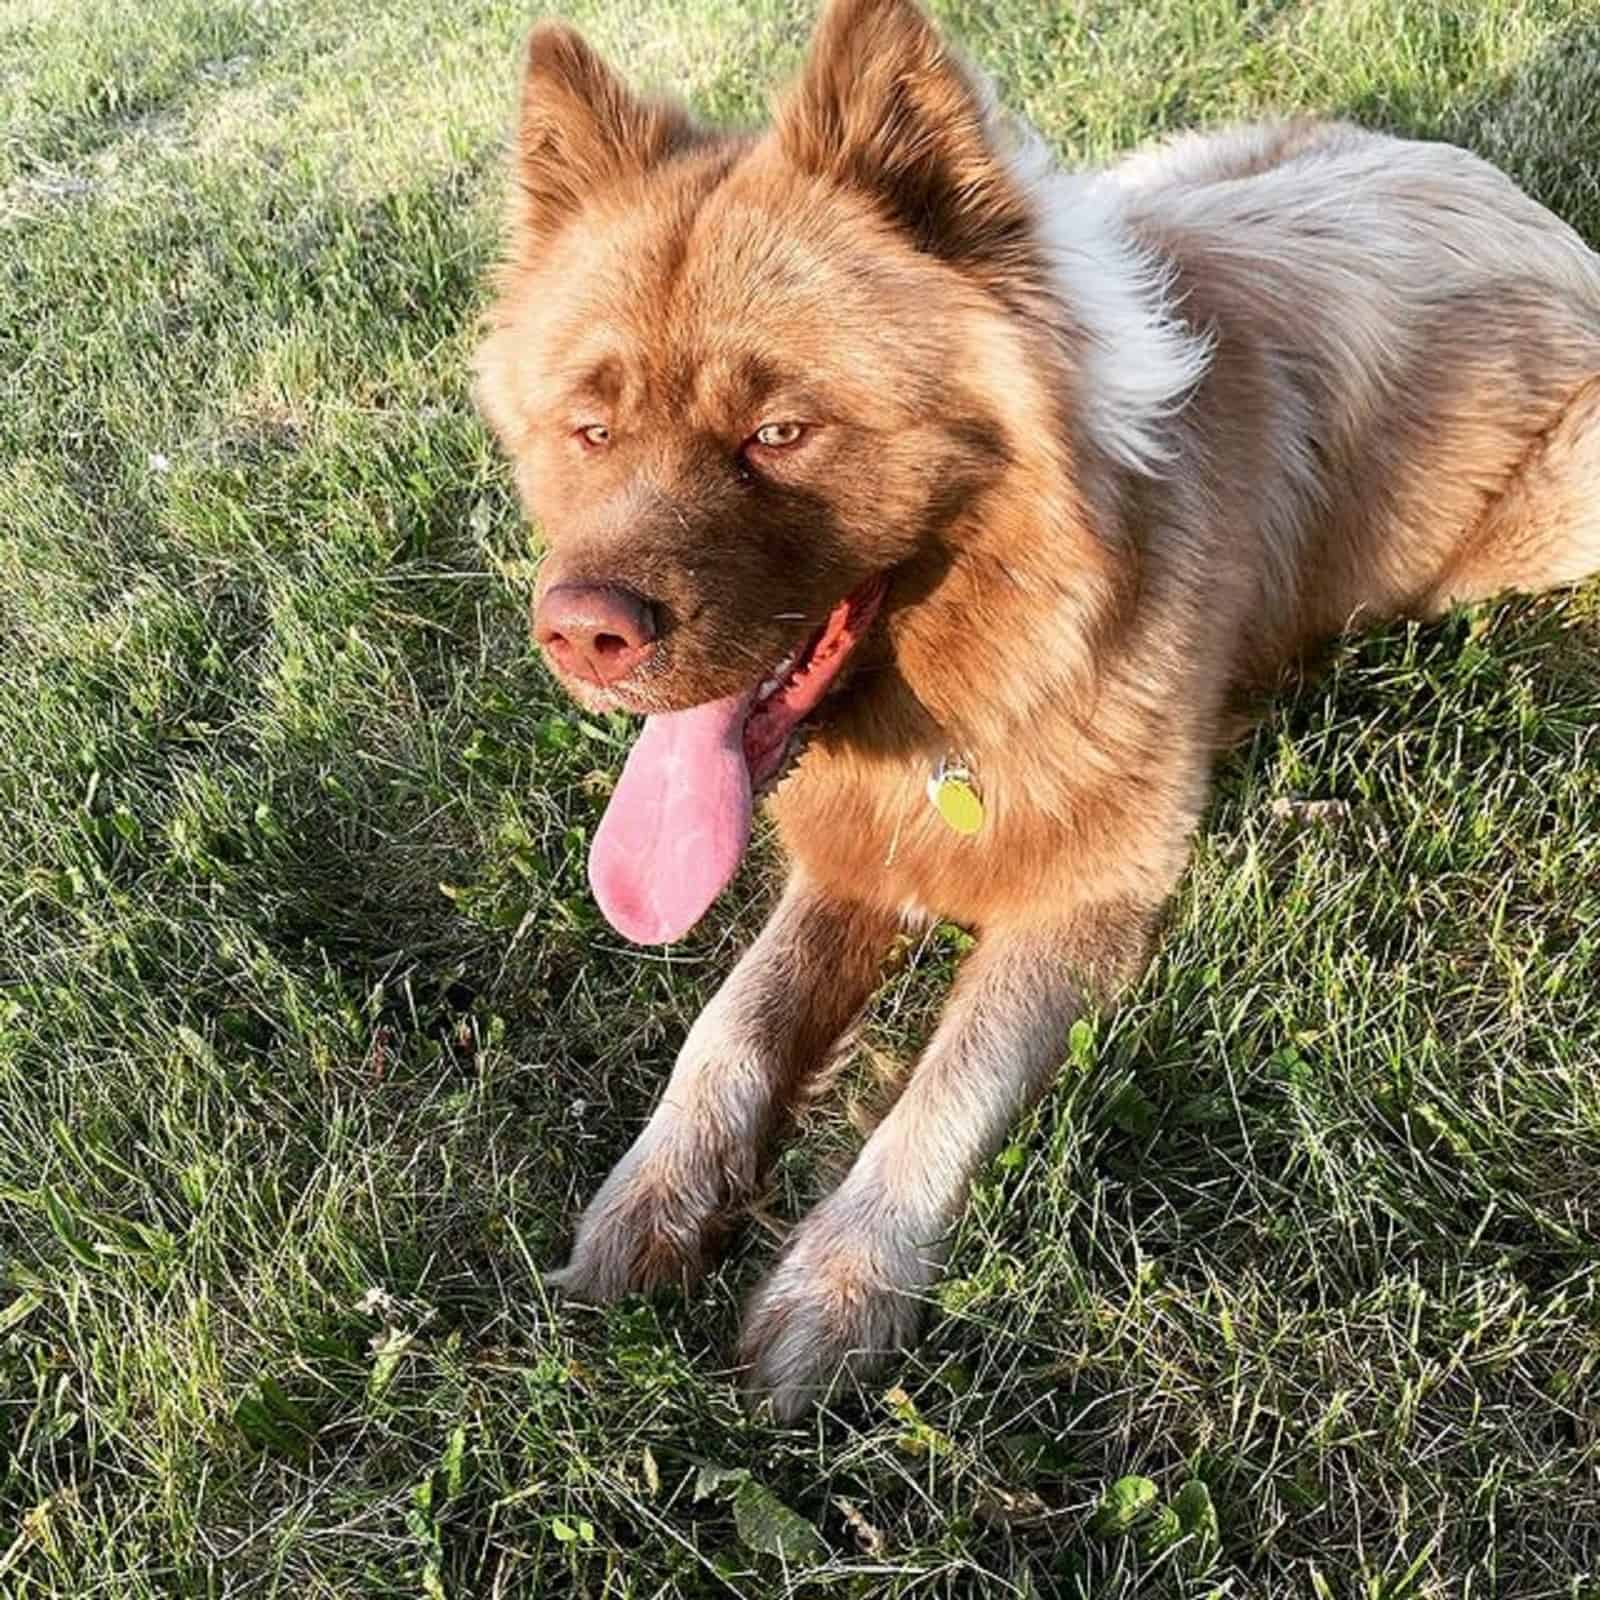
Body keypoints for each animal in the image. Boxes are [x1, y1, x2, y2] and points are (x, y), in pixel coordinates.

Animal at [473, 0, 1600, 1420]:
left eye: (781, 432)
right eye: (590, 429)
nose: (579, 635)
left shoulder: (1086, 893)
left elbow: (946, 1084)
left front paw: (840, 1282)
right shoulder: (851, 855)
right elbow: (731, 1022)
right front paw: (653, 1197)